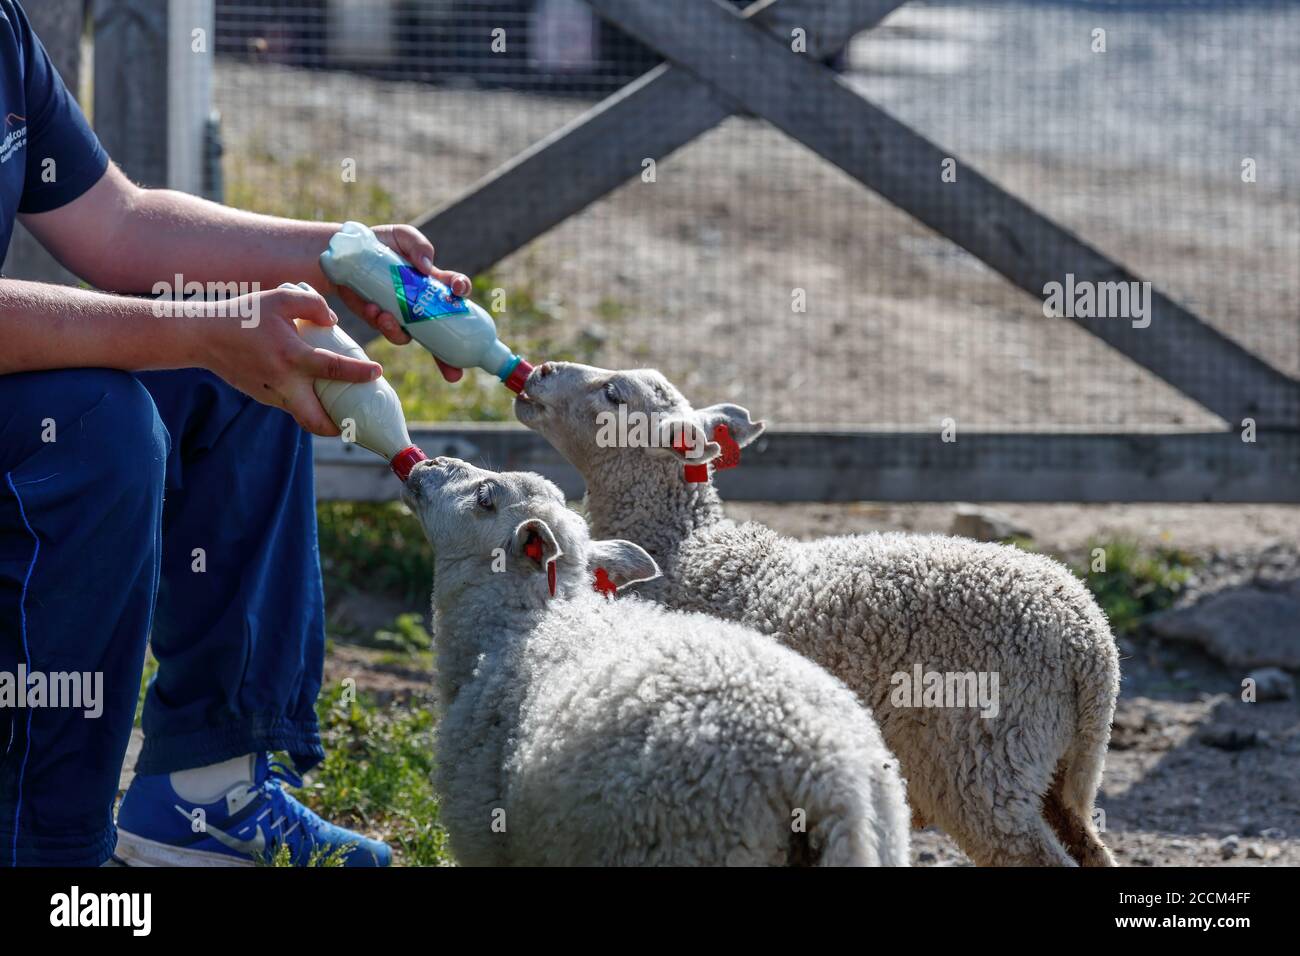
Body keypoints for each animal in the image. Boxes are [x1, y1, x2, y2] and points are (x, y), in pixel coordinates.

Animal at [512, 361, 1123, 868]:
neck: (685, 550)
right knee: (1091, 849)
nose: (539, 371)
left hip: (986, 762)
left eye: (613, 395)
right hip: (1056, 769)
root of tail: (1091, 646)